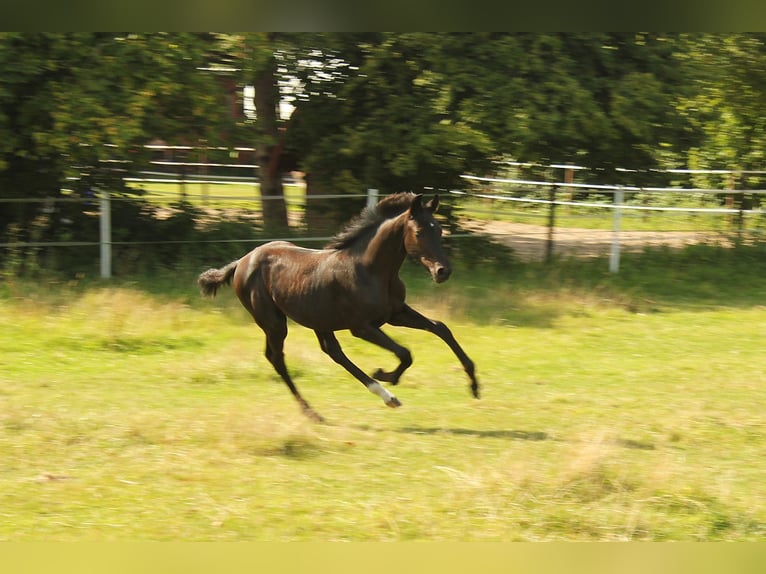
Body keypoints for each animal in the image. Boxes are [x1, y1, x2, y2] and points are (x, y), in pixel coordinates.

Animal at [198, 192, 479, 422]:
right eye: (419, 232)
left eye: (439, 230)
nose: (443, 271)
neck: (371, 270)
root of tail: (242, 262)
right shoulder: (361, 327)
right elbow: (405, 353)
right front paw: (386, 374)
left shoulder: (395, 313)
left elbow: (441, 328)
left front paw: (475, 384)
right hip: (274, 322)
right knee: (277, 357)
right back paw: (315, 412)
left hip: (318, 320)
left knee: (332, 352)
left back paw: (383, 396)